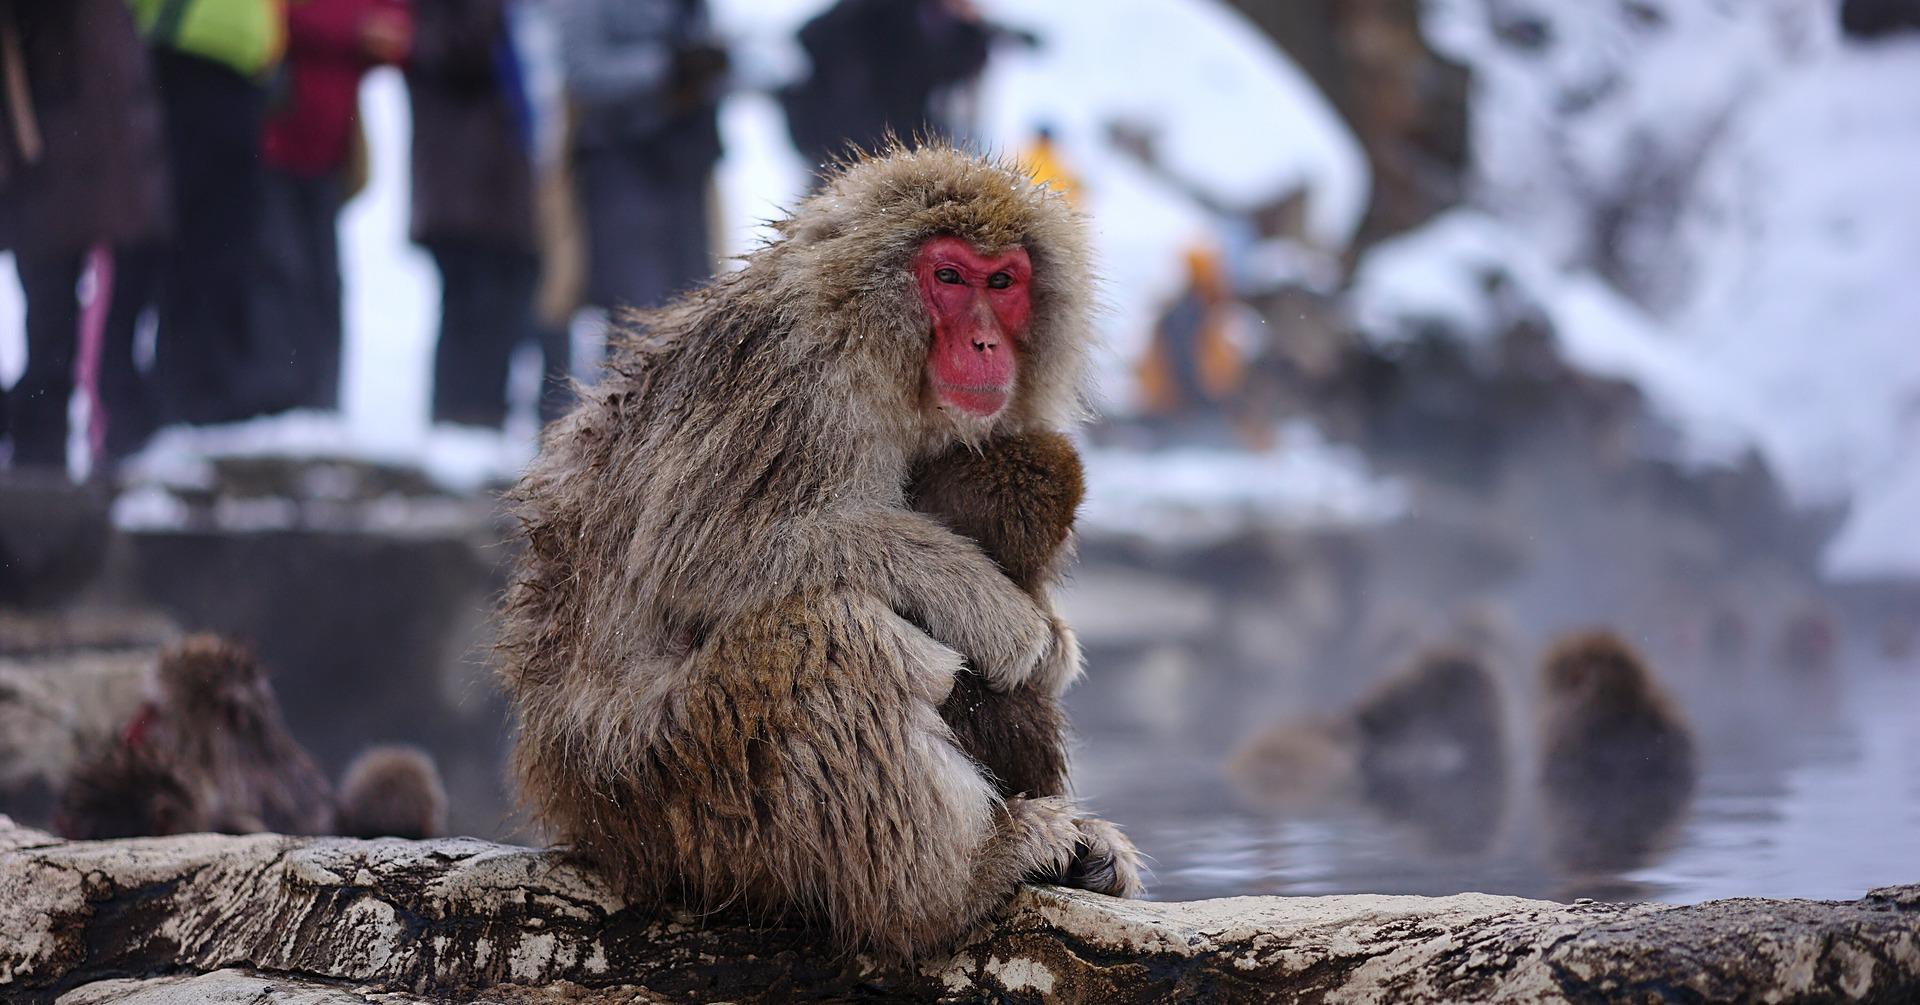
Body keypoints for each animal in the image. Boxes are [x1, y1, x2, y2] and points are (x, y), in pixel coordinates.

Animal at [497, 143, 1139, 961]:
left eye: (1003, 282)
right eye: (949, 276)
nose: (987, 343)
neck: (869, 348)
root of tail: (576, 812)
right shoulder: (789, 386)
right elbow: (700, 558)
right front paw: (995, 609)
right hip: (671, 791)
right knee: (830, 635)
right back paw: (947, 888)